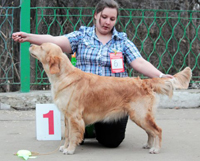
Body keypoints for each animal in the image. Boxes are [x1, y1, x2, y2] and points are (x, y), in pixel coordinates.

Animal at [28, 42, 191, 155]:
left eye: (41, 46)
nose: (30, 45)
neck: (63, 76)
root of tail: (144, 82)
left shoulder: (74, 116)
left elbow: (73, 135)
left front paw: (70, 150)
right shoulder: (67, 117)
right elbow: (67, 135)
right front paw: (64, 147)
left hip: (141, 115)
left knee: (158, 130)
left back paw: (155, 149)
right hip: (139, 116)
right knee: (150, 131)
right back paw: (149, 145)